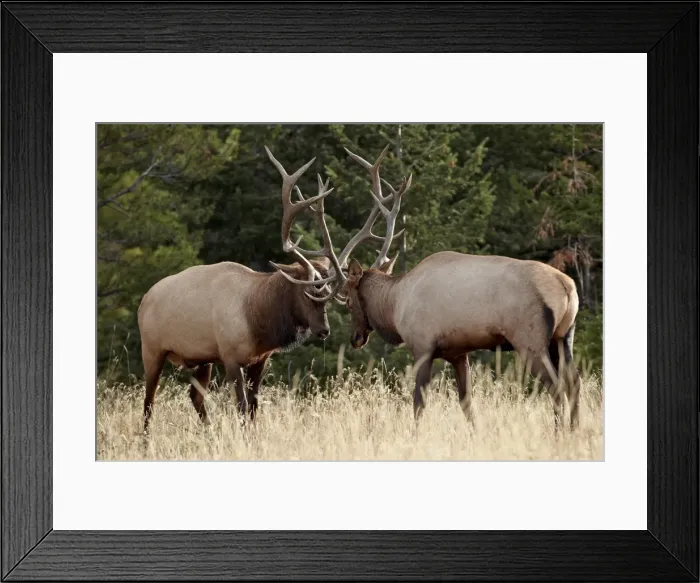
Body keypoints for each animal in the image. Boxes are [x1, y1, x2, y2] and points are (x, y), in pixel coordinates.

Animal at [137, 146, 397, 433]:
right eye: (308, 292)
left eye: (327, 298)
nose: (324, 330)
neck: (259, 319)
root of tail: (144, 300)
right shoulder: (230, 356)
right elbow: (241, 407)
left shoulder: (259, 359)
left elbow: (252, 409)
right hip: (151, 349)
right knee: (148, 401)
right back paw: (147, 438)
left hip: (200, 360)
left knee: (194, 396)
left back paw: (208, 430)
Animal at [331, 144, 583, 431]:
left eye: (348, 300)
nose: (355, 338)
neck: (394, 305)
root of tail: (567, 286)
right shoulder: (458, 352)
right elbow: (467, 403)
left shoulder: (422, 346)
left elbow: (419, 403)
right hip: (563, 337)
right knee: (574, 382)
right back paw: (575, 430)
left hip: (530, 340)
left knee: (556, 386)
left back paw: (559, 432)